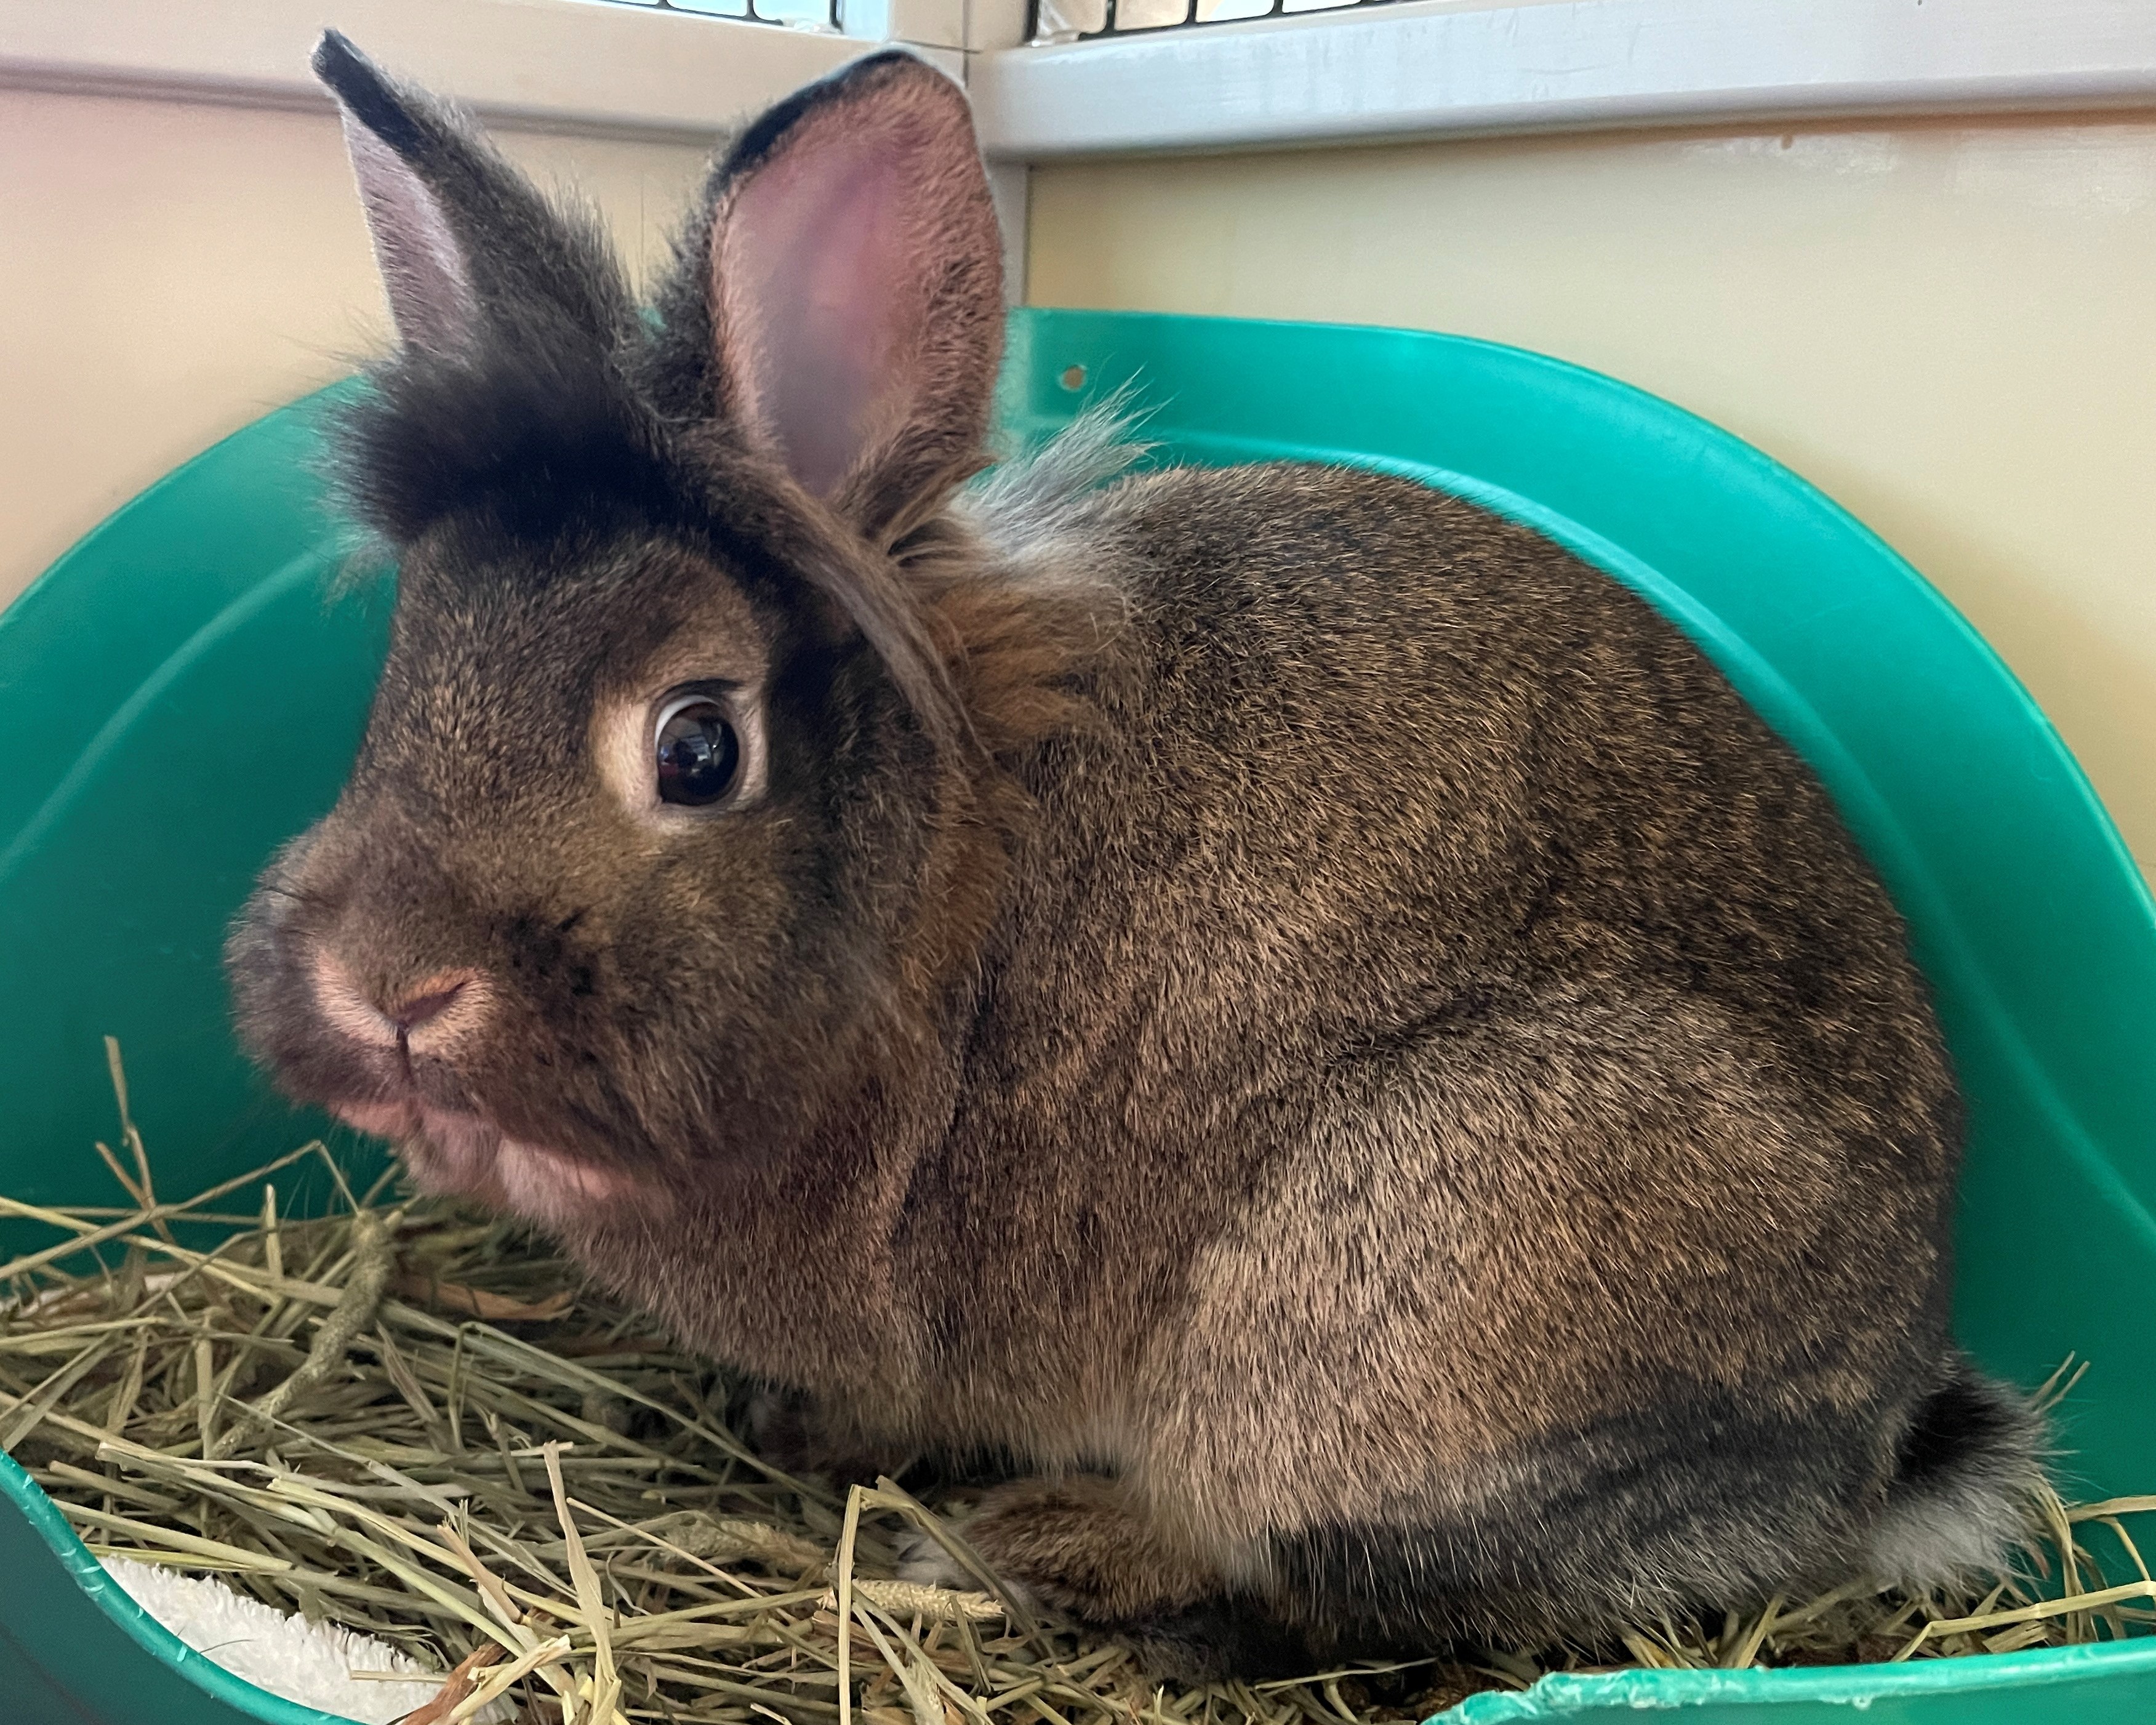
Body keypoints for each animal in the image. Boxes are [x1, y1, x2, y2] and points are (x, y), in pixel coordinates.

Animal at [228, 30, 2045, 1679]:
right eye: (405, 669)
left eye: (695, 747)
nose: (386, 986)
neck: (914, 903)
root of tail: (1867, 1429)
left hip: (1373, 1293)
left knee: (1354, 1594)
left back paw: (1037, 1548)